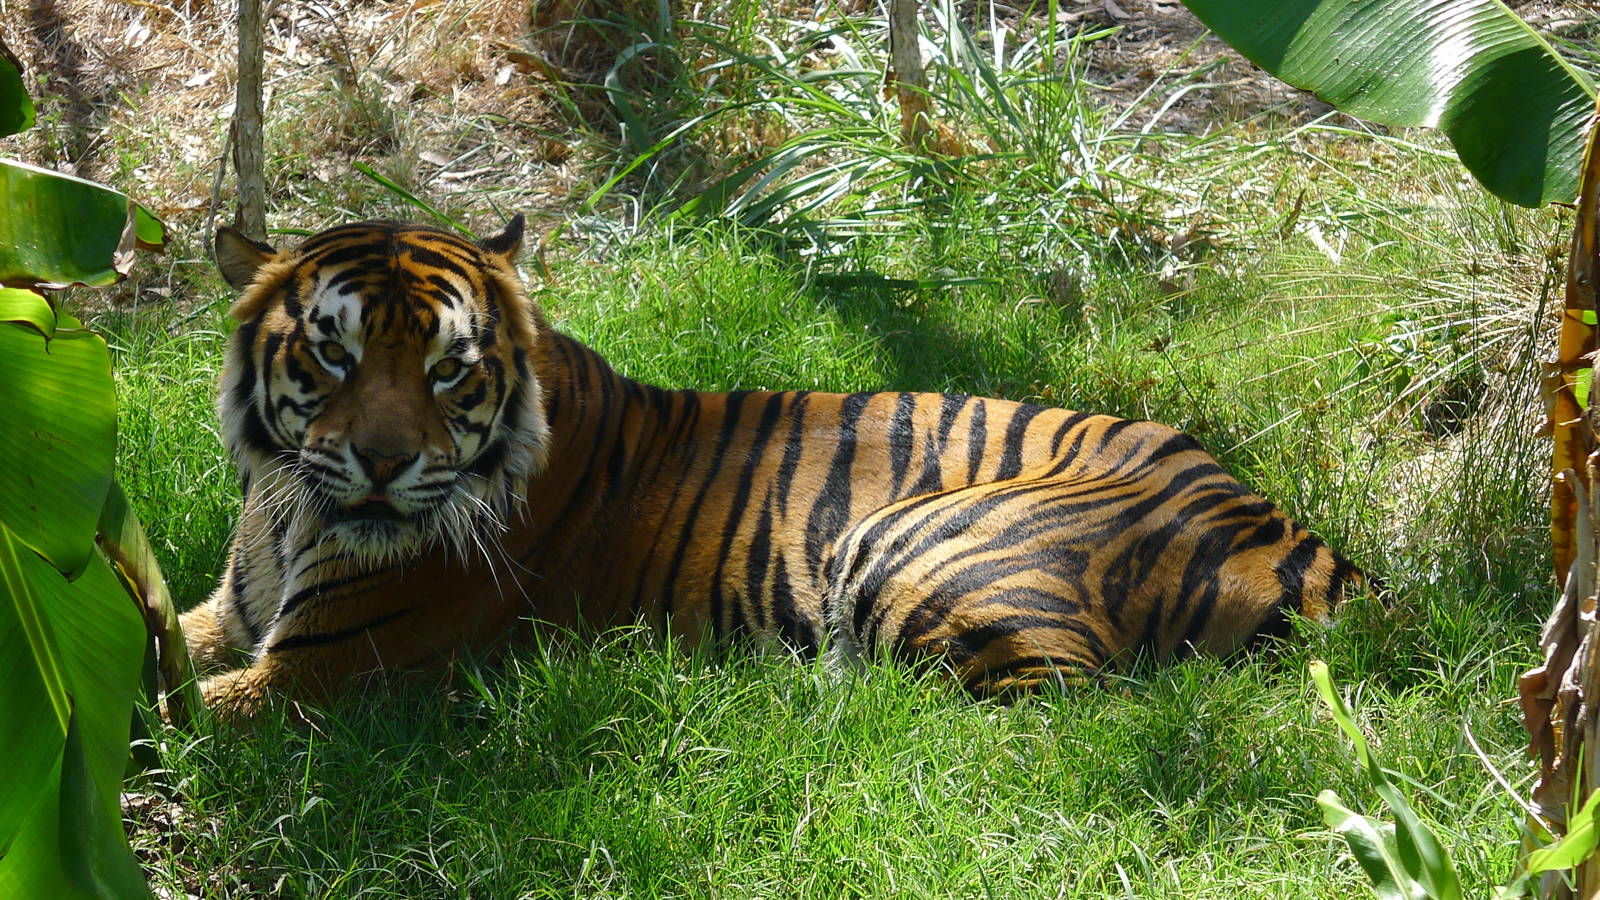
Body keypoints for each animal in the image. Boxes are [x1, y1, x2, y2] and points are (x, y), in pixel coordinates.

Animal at [178, 216, 1362, 719]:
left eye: (449, 368)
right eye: (333, 353)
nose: (381, 465)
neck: (288, 508)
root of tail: (1292, 532)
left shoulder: (322, 670)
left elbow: (163, 717)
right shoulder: (229, 617)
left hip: (914, 541)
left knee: (1036, 712)